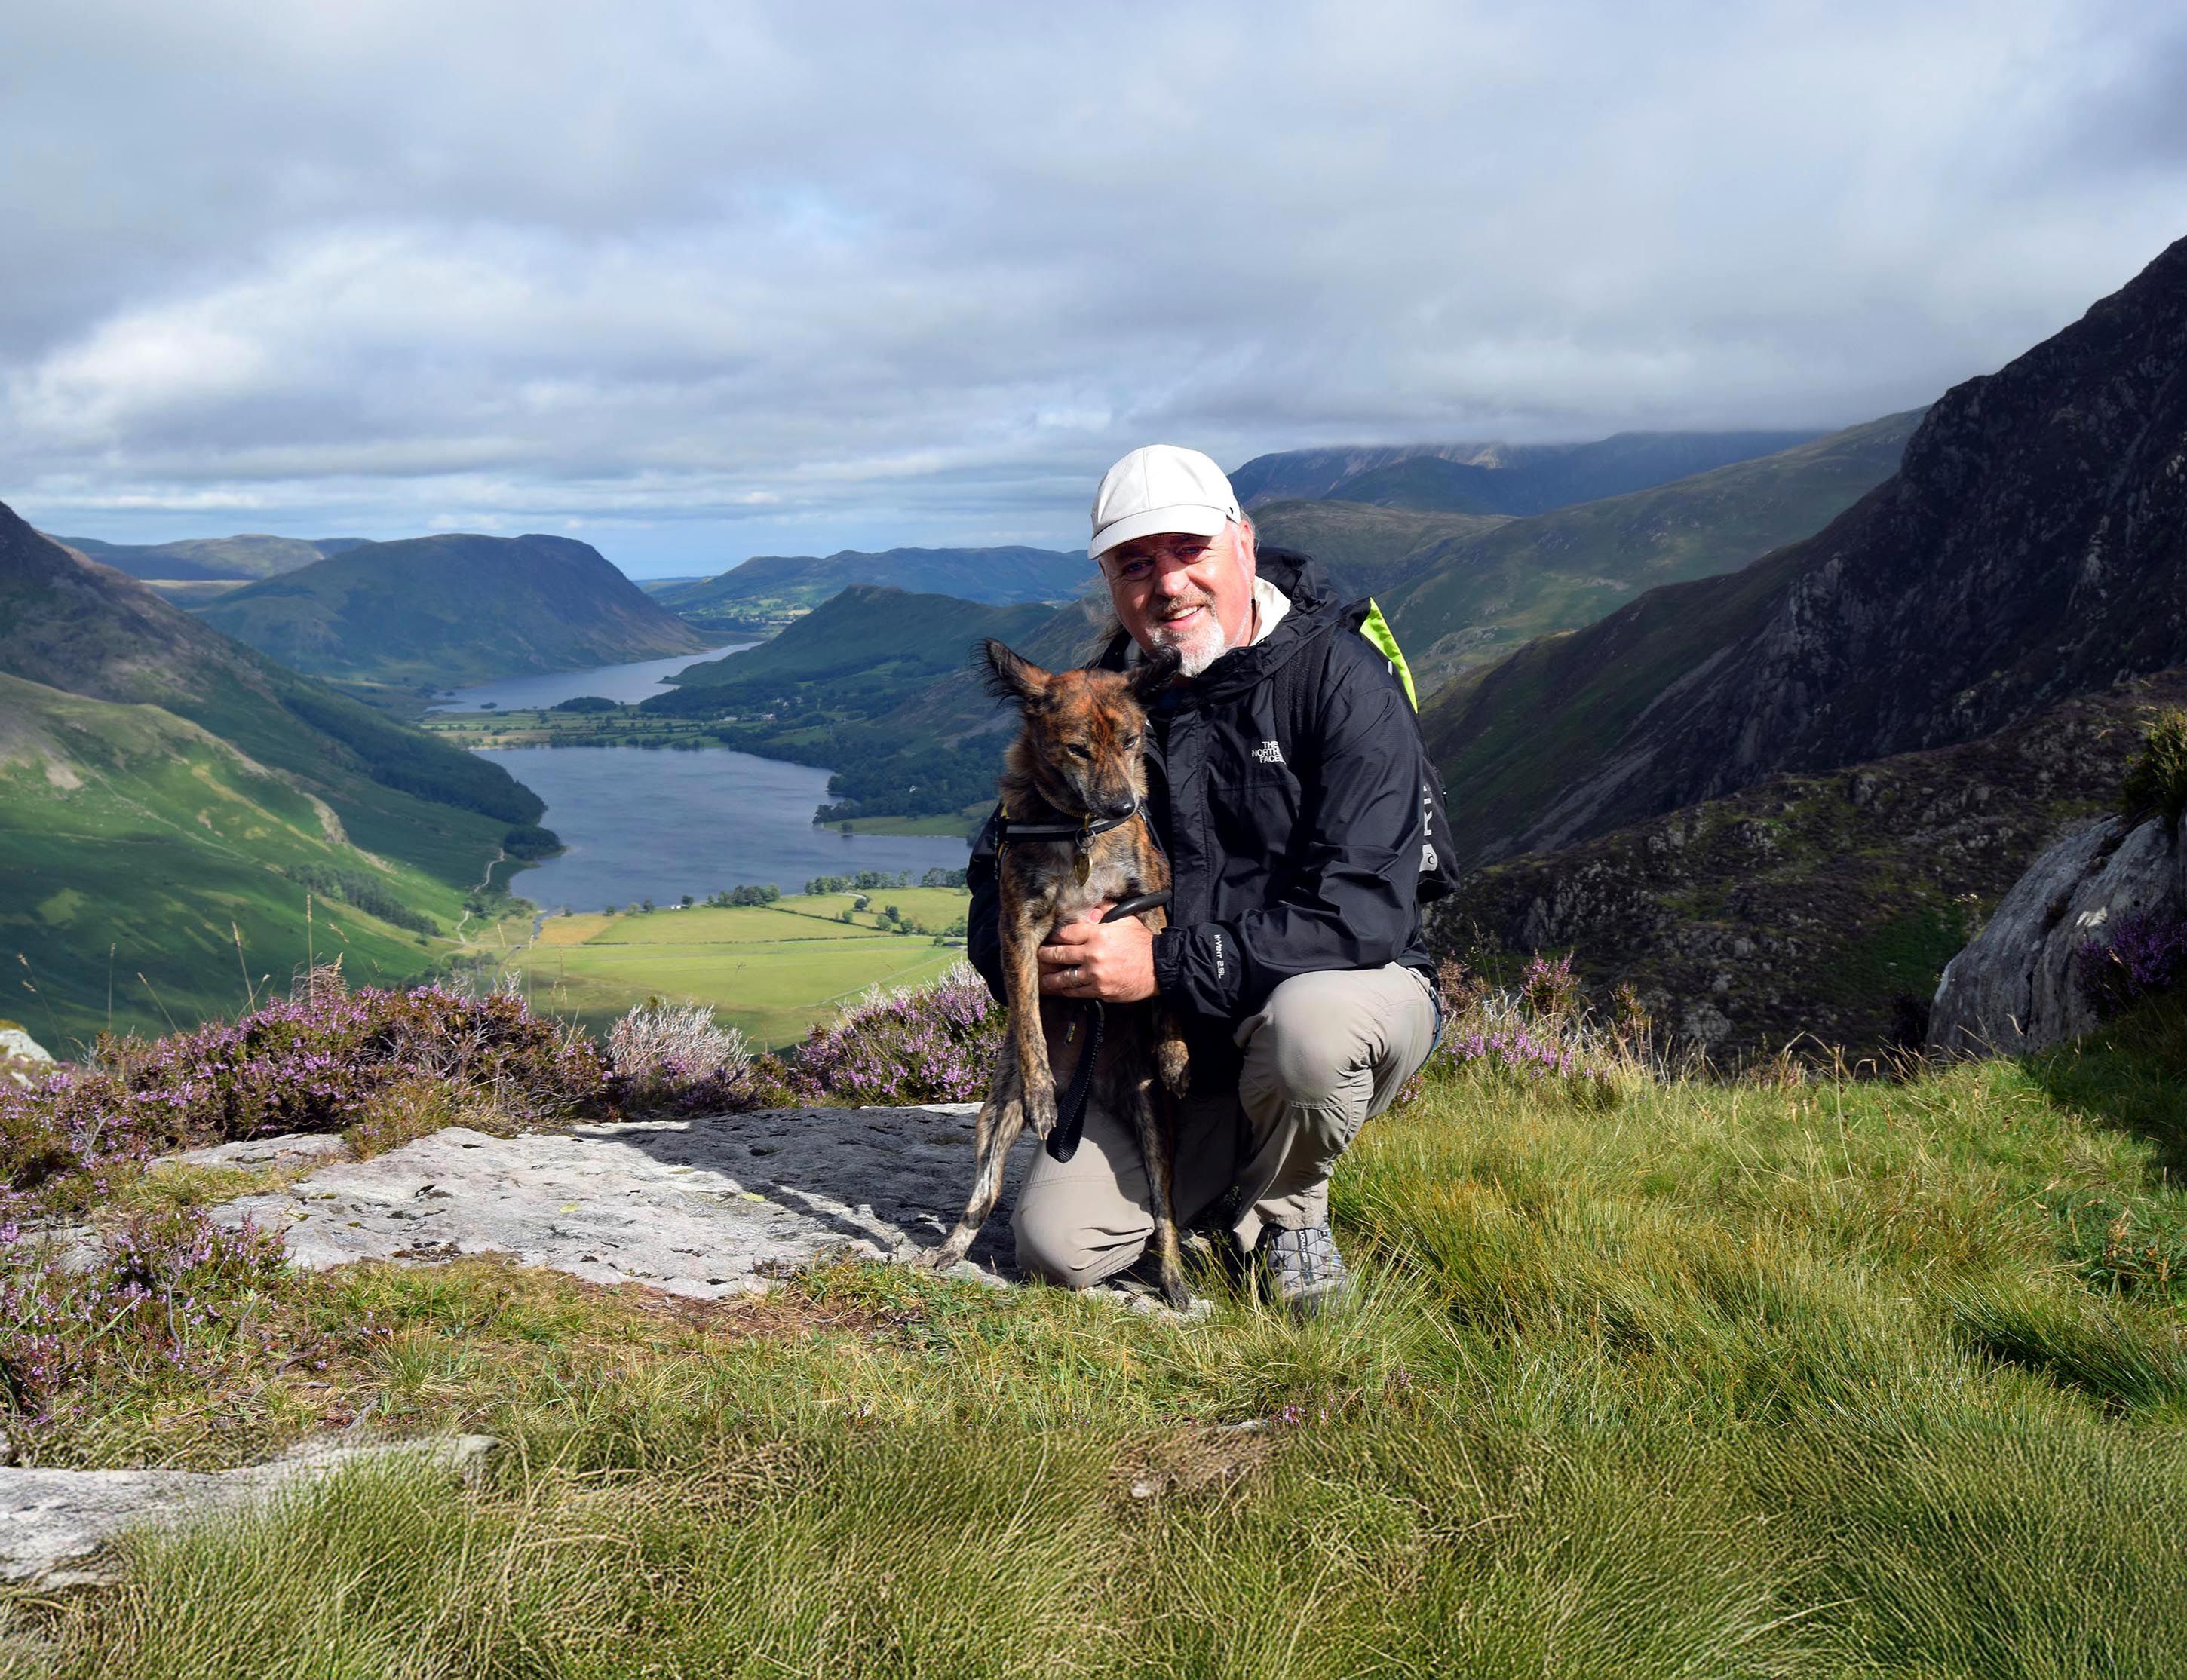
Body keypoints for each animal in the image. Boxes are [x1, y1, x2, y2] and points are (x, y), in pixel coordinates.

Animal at [927, 639, 1198, 1304]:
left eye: (1131, 740)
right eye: (1078, 748)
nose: (1123, 804)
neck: (1079, 831)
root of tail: (1094, 1086)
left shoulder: (1152, 905)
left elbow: (1165, 975)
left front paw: (1176, 1054)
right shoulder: (1019, 928)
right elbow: (1026, 1014)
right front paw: (1044, 1088)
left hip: (1154, 1129)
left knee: (1164, 1214)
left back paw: (1175, 1280)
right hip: (993, 1118)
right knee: (986, 1190)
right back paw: (951, 1248)